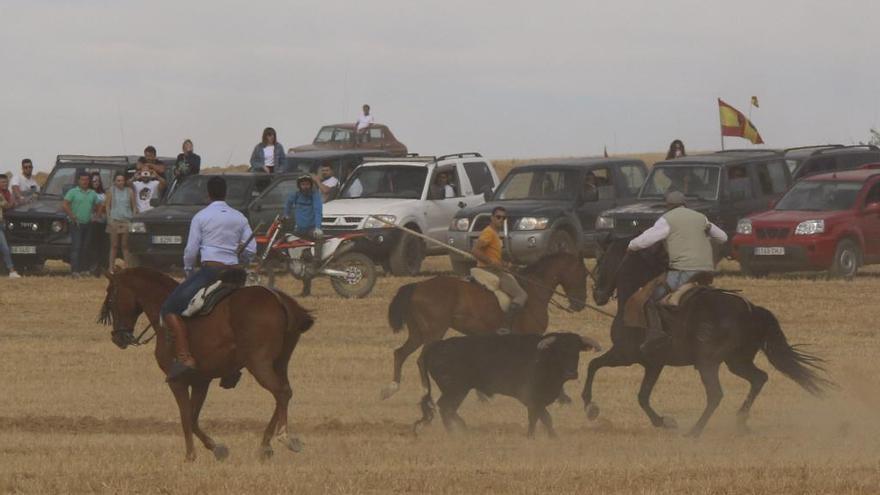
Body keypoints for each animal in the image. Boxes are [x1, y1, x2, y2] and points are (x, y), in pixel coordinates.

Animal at [97, 270, 312, 464]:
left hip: (260, 364)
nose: (117, 338)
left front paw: (190, 456)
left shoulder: (177, 382)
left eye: (111, 297)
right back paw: (265, 445)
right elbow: (193, 418)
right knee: (283, 394)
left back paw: (284, 437)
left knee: (281, 392)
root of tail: (279, 300)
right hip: (280, 364)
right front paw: (216, 448)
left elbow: (185, 417)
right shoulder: (201, 381)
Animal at [382, 254, 588, 402]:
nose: (580, 305)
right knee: (420, 359)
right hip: (434, 333)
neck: (534, 290)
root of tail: (417, 286)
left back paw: (391, 389)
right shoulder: (533, 336)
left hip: (419, 334)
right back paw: (425, 392)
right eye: (584, 274)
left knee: (400, 353)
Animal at [584, 238, 832, 436]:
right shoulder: (653, 364)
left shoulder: (624, 354)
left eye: (600, 263)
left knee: (715, 395)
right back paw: (740, 421)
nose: (597, 294)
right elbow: (642, 396)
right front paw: (663, 421)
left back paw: (695, 431)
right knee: (759, 378)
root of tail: (751, 310)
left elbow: (594, 365)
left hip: (708, 363)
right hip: (736, 361)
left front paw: (590, 407)